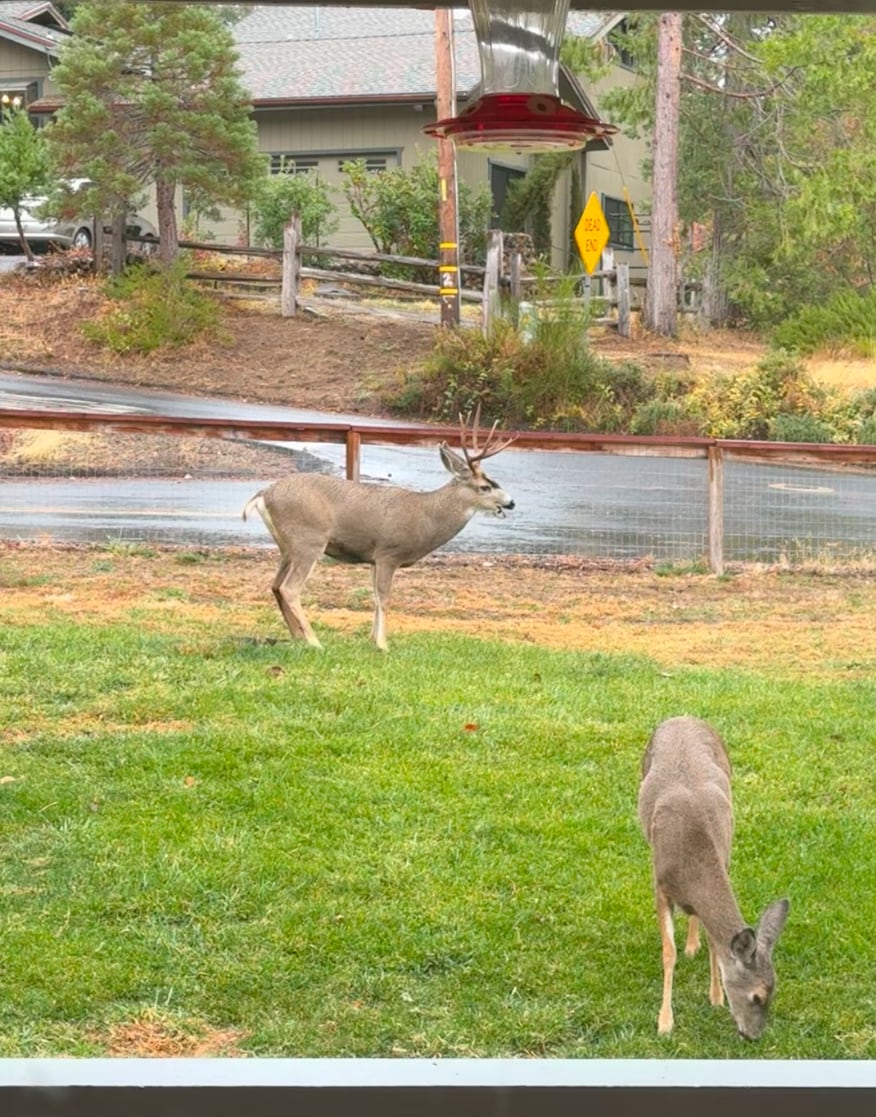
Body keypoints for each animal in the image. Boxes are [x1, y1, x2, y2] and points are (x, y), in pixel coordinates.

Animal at [242, 407, 515, 651]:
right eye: (485, 487)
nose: (511, 502)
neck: (426, 515)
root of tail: (264, 493)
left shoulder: (373, 558)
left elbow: (374, 597)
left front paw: (372, 639)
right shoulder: (388, 552)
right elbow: (384, 597)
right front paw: (383, 645)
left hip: (286, 546)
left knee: (276, 586)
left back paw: (297, 637)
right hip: (308, 540)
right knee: (289, 588)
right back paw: (314, 642)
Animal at [637, 715, 789, 1040]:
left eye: (773, 993)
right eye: (756, 995)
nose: (753, 1036)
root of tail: (683, 716)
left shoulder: (725, 857)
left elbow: (714, 943)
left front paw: (716, 997)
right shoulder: (660, 885)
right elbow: (668, 953)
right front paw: (665, 1022)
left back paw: (692, 944)